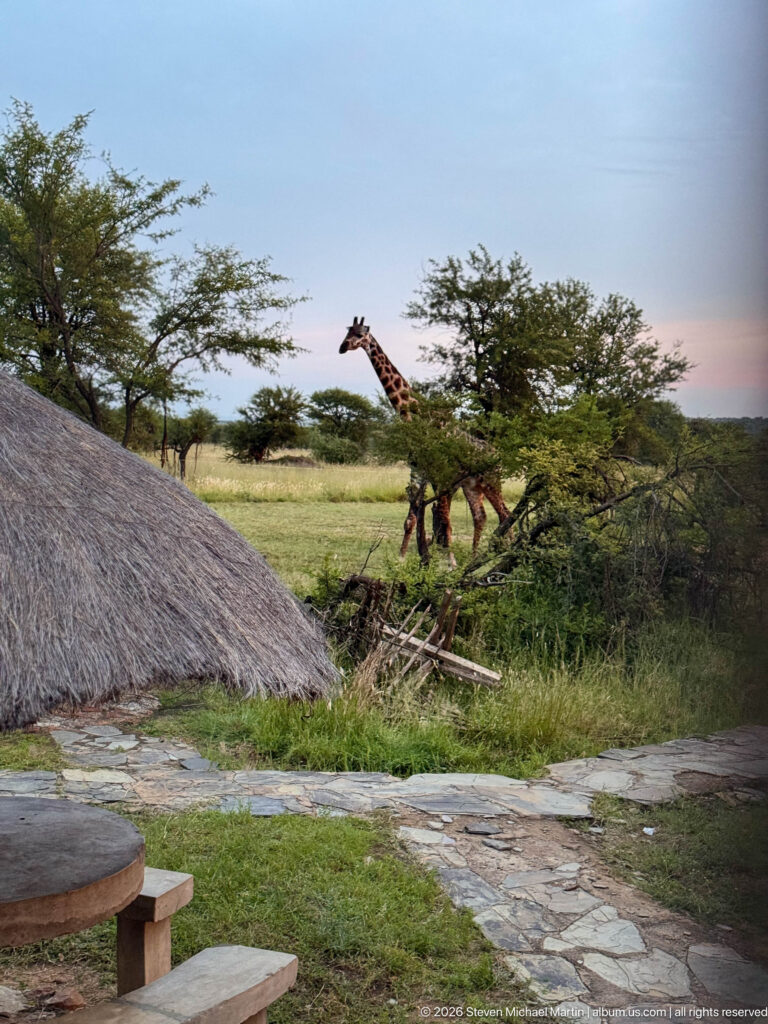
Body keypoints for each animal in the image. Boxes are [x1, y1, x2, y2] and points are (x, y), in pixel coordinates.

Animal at [339, 316, 510, 557]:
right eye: (347, 331)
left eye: (361, 334)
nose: (342, 347)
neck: (414, 418)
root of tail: (497, 453)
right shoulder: (418, 470)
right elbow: (411, 519)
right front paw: (402, 556)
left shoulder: (440, 474)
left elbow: (444, 520)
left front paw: (446, 557)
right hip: (472, 485)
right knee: (482, 516)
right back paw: (476, 554)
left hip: (491, 481)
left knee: (505, 513)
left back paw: (508, 549)